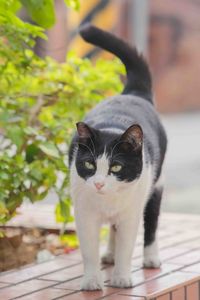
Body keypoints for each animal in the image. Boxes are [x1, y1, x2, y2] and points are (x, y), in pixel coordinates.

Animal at [69, 23, 167, 290]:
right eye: (89, 164)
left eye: (116, 167)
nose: (99, 184)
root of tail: (133, 93)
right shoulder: (84, 214)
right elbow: (88, 251)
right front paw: (92, 280)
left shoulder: (131, 213)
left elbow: (127, 246)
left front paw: (122, 278)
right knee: (112, 229)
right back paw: (109, 255)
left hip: (155, 186)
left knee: (151, 222)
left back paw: (151, 258)